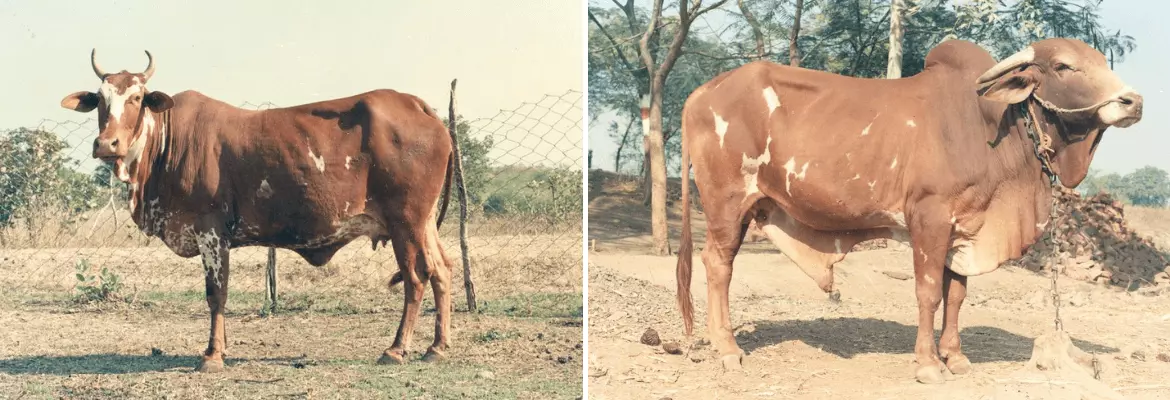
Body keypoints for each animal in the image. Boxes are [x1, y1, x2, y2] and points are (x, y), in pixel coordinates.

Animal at [59, 50, 458, 372]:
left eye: (137, 97)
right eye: (100, 100)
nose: (107, 144)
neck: (164, 147)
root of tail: (416, 105)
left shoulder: (211, 231)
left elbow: (216, 294)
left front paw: (212, 355)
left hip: (405, 222)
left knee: (416, 278)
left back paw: (396, 349)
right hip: (424, 223)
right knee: (441, 271)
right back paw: (437, 348)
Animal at [674, 38, 1143, 384]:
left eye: (1102, 61)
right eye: (1063, 66)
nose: (1132, 101)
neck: (992, 127)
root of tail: (702, 92)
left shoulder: (965, 227)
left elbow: (957, 295)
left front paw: (955, 357)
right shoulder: (929, 219)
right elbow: (929, 292)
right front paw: (929, 364)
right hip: (725, 203)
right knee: (717, 265)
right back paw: (728, 349)